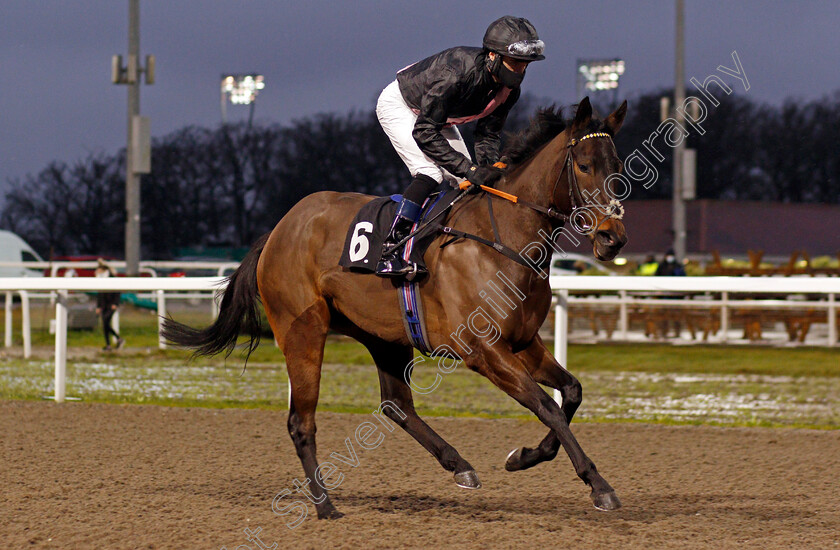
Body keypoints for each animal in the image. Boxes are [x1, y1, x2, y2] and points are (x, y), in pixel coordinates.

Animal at [162, 98, 624, 520]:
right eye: (584, 165)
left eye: (617, 164)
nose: (612, 237)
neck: (502, 240)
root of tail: (277, 229)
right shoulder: (485, 351)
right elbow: (547, 406)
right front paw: (599, 485)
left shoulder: (525, 342)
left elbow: (570, 393)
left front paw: (526, 456)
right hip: (303, 332)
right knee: (301, 421)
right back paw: (325, 505)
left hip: (384, 336)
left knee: (396, 405)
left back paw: (459, 465)